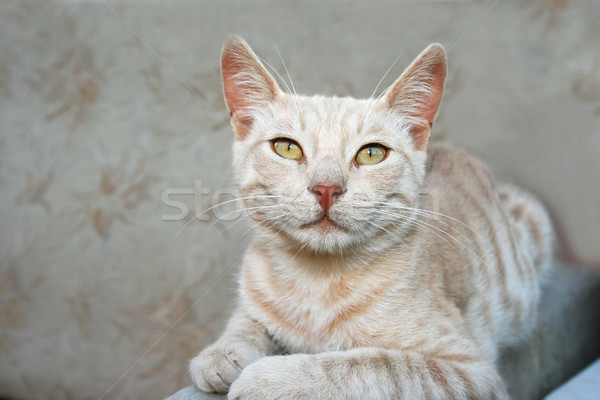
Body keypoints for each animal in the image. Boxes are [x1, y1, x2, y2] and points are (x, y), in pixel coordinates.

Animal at [190, 35, 556, 400]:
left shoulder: (469, 371)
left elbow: (365, 365)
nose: (326, 188)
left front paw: (270, 380)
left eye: (371, 154)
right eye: (287, 148)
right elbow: (246, 321)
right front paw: (222, 353)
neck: (316, 282)